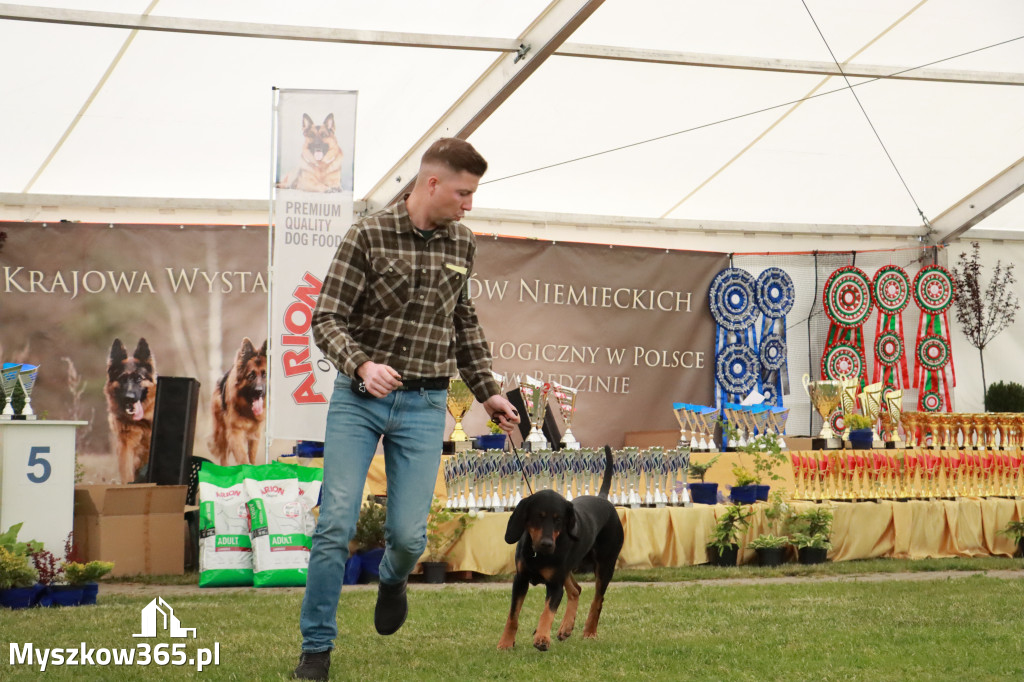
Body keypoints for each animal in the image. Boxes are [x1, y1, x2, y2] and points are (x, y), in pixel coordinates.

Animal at [497, 444, 622, 651]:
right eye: (538, 516)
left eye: (559, 520)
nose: (547, 544)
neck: (537, 554)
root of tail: (603, 499)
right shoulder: (520, 579)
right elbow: (513, 615)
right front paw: (506, 642)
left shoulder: (555, 583)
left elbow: (547, 612)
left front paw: (541, 638)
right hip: (568, 568)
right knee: (576, 590)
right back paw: (566, 628)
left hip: (605, 565)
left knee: (597, 600)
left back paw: (589, 632)